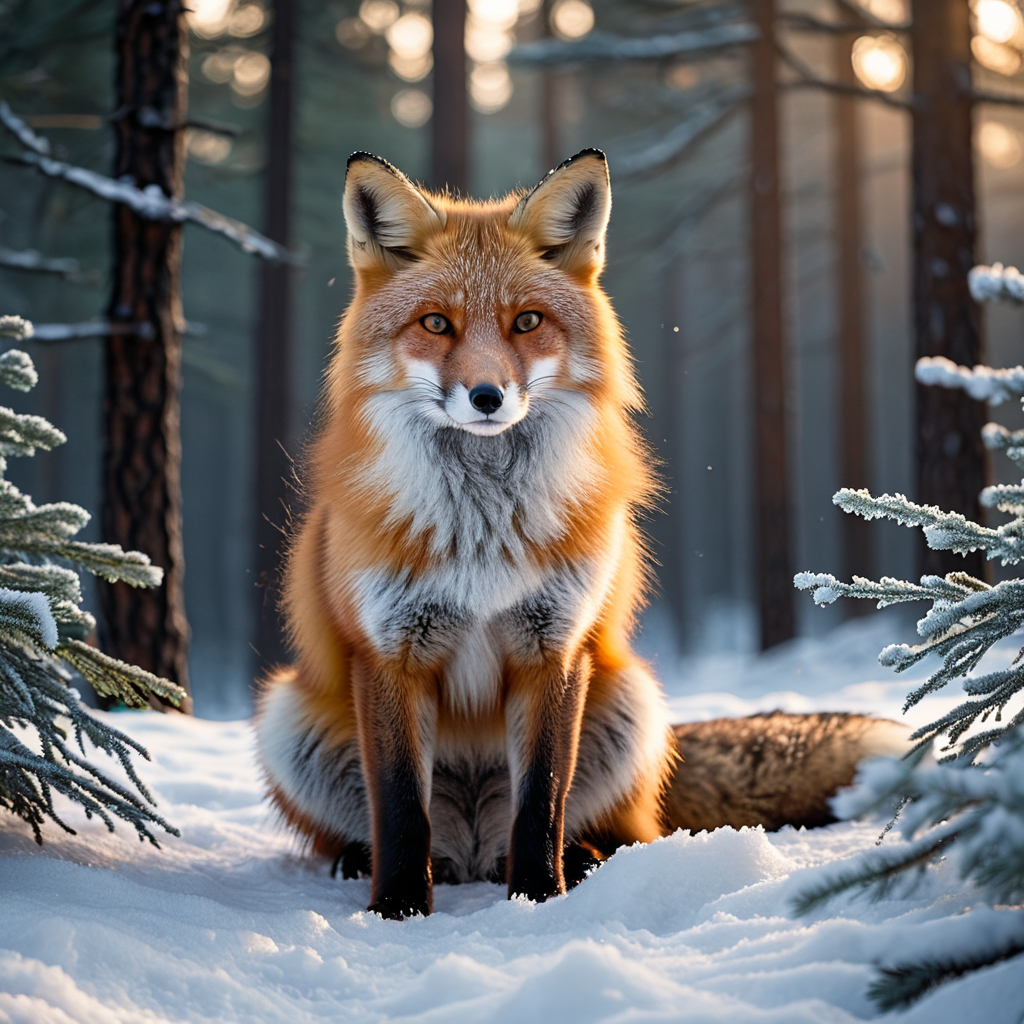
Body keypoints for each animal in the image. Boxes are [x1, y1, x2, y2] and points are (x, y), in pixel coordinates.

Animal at [254, 149, 907, 920]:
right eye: (436, 323)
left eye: (527, 321)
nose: (486, 397)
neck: (483, 533)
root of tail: (469, 850)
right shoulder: (389, 654)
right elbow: (401, 809)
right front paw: (398, 910)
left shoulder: (554, 648)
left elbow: (541, 802)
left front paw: (538, 899)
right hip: (287, 713)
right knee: (379, 828)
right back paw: (360, 861)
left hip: (632, 700)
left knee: (611, 828)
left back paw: (584, 859)